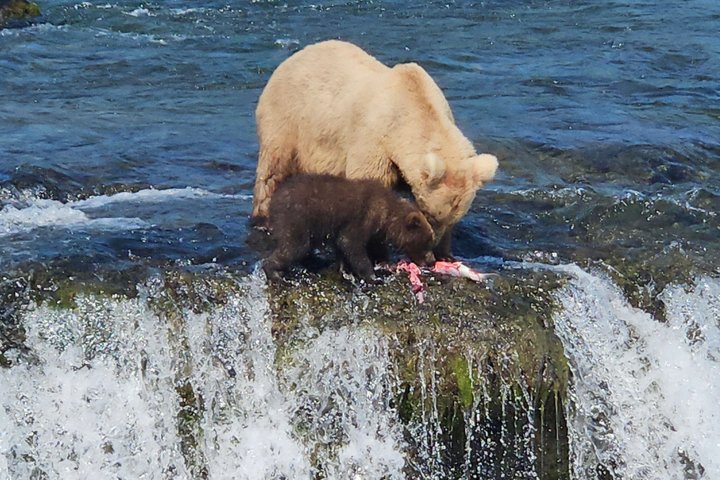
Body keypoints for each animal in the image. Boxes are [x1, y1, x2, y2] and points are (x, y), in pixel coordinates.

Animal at [251, 39, 498, 259]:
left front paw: (447, 254)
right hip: (288, 120)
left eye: (451, 219)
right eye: (432, 214)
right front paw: (379, 253)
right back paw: (262, 219)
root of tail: (293, 57)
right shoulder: (374, 143)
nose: (433, 242)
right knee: (272, 171)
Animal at [262, 173, 436, 282]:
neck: (385, 216)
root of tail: (273, 201)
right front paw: (373, 276)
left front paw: (345, 269)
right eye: (427, 240)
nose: (432, 261)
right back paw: (276, 274)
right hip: (296, 219)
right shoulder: (363, 217)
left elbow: (344, 247)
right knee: (294, 247)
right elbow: (351, 244)